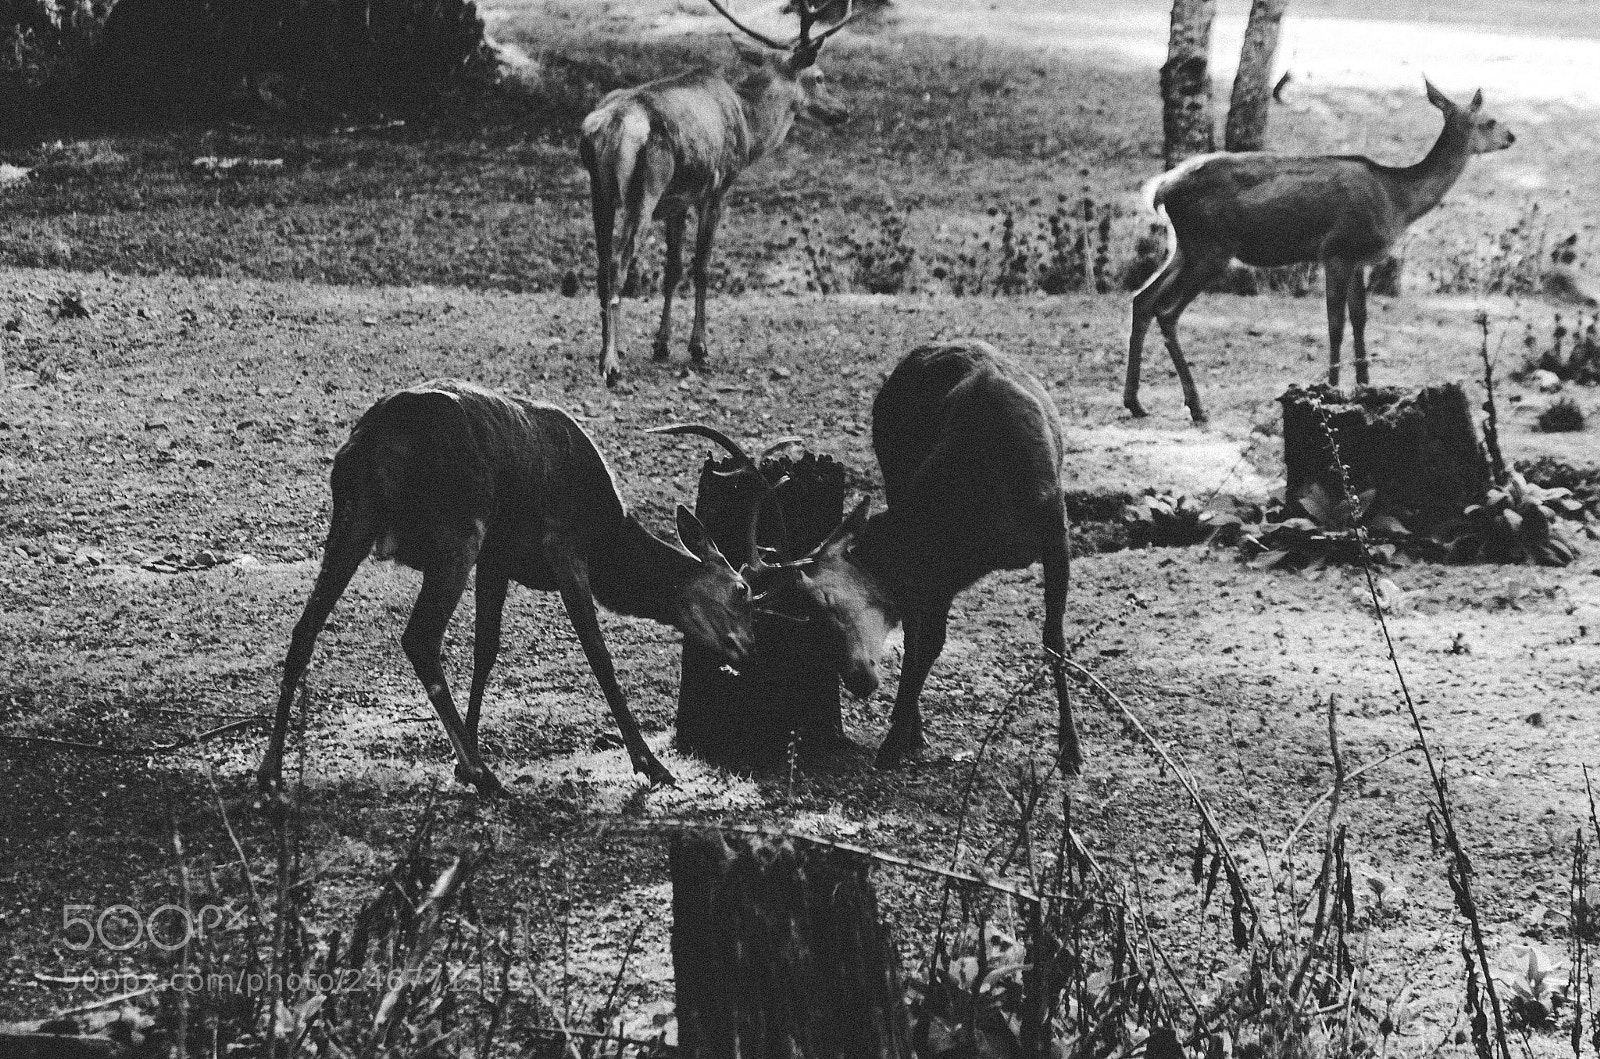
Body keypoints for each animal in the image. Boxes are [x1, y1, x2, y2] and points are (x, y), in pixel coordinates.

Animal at [256, 378, 795, 801]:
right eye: (742, 590)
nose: (750, 650)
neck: (608, 543)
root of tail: (368, 443)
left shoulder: (497, 561)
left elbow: (486, 649)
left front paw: (463, 756)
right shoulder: (564, 549)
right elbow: (598, 654)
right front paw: (652, 766)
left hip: (355, 516)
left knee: (304, 628)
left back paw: (271, 774)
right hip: (458, 527)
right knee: (419, 637)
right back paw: (485, 775)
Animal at [580, 0, 853, 387]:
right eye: (819, 76)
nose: (843, 111)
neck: (751, 130)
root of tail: (609, 124)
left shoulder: (677, 201)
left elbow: (673, 268)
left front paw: (661, 345)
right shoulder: (718, 186)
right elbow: (702, 265)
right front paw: (699, 348)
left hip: (599, 190)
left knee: (602, 263)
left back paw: (605, 353)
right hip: (644, 189)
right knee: (619, 262)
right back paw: (611, 363)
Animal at [750, 341, 1081, 773]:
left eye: (827, 601)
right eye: (805, 622)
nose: (855, 680)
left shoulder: (1055, 531)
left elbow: (1054, 640)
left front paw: (1071, 749)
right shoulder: (939, 569)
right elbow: (926, 640)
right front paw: (896, 737)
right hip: (892, 473)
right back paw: (912, 726)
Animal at [1124, 78, 1516, 424]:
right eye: (1489, 120)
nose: (1511, 136)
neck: (1398, 201)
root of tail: (1161, 188)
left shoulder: (1358, 258)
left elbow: (1360, 320)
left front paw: (1366, 386)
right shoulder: (1337, 251)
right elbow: (1335, 323)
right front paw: (1332, 387)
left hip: (1185, 247)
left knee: (1142, 299)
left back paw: (1135, 402)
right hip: (1211, 248)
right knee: (1166, 311)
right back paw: (1196, 406)